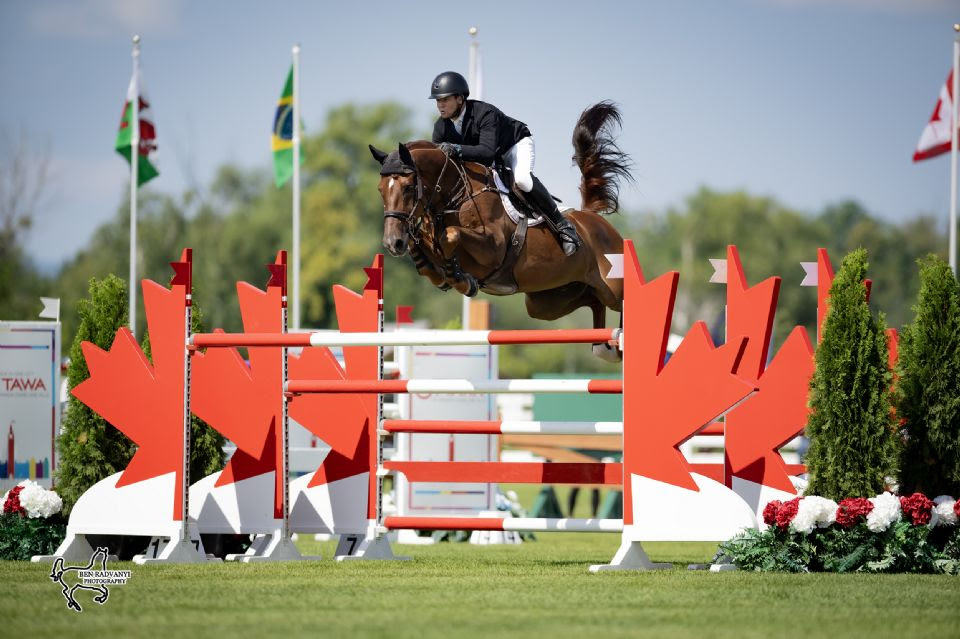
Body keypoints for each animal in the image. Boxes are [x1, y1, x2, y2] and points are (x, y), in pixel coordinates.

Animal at [372, 102, 632, 358]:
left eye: (407, 187)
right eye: (380, 189)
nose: (392, 242)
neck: (454, 196)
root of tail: (593, 218)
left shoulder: (493, 249)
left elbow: (451, 235)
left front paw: (460, 278)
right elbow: (423, 248)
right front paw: (441, 273)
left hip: (612, 286)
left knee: (617, 300)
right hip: (548, 302)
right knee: (594, 301)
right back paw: (605, 348)